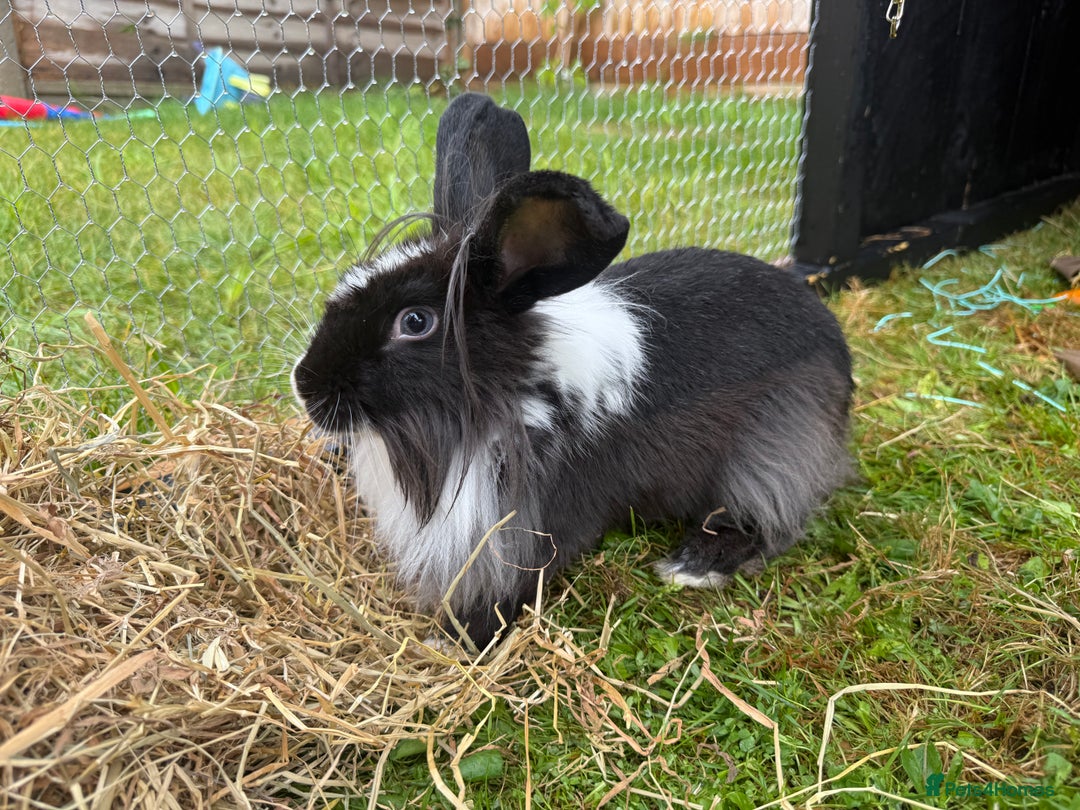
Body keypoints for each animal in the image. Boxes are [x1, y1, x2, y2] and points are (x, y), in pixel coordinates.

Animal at [292, 100, 853, 651]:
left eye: (414, 322)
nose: (305, 384)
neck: (516, 392)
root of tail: (835, 342)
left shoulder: (524, 528)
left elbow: (510, 585)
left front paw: (455, 640)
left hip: (771, 453)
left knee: (768, 518)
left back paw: (692, 566)